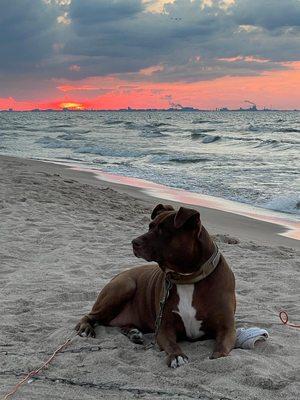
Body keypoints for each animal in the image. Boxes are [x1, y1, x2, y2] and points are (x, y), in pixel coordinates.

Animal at [76, 205, 236, 368]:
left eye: (162, 230)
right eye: (150, 226)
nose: (134, 242)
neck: (187, 278)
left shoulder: (226, 327)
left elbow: (222, 345)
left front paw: (218, 356)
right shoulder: (164, 328)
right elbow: (171, 344)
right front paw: (177, 355)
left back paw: (133, 332)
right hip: (125, 285)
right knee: (90, 315)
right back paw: (86, 328)